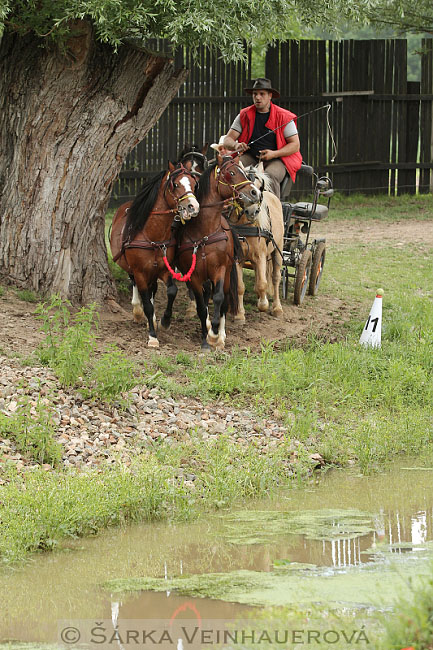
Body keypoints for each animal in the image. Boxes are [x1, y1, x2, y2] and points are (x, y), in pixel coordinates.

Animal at [110, 160, 200, 346]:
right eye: (175, 184)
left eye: (194, 184)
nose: (193, 207)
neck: (153, 235)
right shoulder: (140, 272)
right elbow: (147, 302)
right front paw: (152, 336)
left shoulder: (164, 269)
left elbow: (172, 291)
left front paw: (165, 321)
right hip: (133, 269)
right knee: (136, 285)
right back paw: (138, 311)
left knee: (153, 290)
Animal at [176, 153, 260, 350]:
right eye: (231, 173)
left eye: (243, 171)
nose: (255, 192)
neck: (205, 233)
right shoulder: (194, 275)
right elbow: (201, 306)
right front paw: (205, 336)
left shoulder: (220, 269)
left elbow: (220, 298)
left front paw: (215, 334)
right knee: (207, 297)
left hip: (228, 273)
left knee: (224, 300)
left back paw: (220, 334)